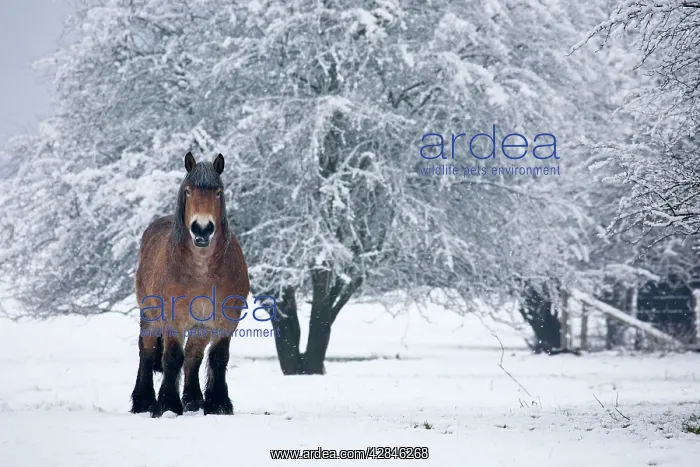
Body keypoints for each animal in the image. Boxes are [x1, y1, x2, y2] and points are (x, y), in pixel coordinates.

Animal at [130, 152, 250, 417]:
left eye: (218, 191)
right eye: (188, 191)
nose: (202, 229)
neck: (201, 270)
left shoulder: (226, 320)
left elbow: (217, 357)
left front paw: (218, 404)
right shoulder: (173, 318)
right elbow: (172, 357)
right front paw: (167, 405)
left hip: (200, 325)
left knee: (193, 355)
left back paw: (193, 400)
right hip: (150, 315)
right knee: (147, 351)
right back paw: (143, 401)